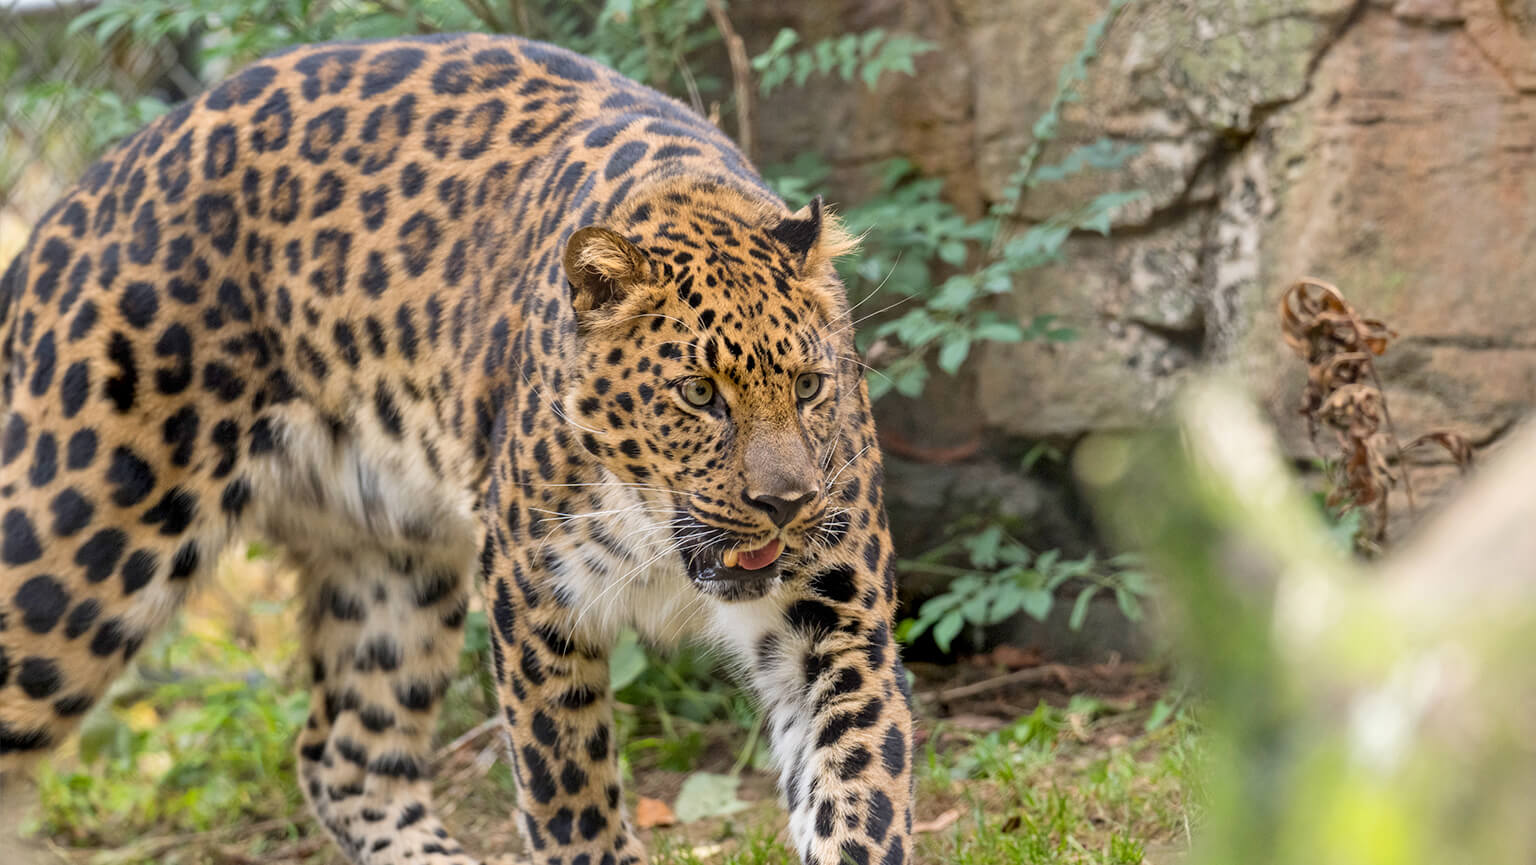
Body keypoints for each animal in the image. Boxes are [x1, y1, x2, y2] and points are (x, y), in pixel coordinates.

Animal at [0, 31, 914, 865]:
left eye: (810, 386)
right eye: (698, 394)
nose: (786, 505)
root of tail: (80, 196)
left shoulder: (835, 616)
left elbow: (859, 784)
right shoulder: (534, 598)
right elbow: (568, 792)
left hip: (391, 565)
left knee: (343, 756)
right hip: (74, 549)